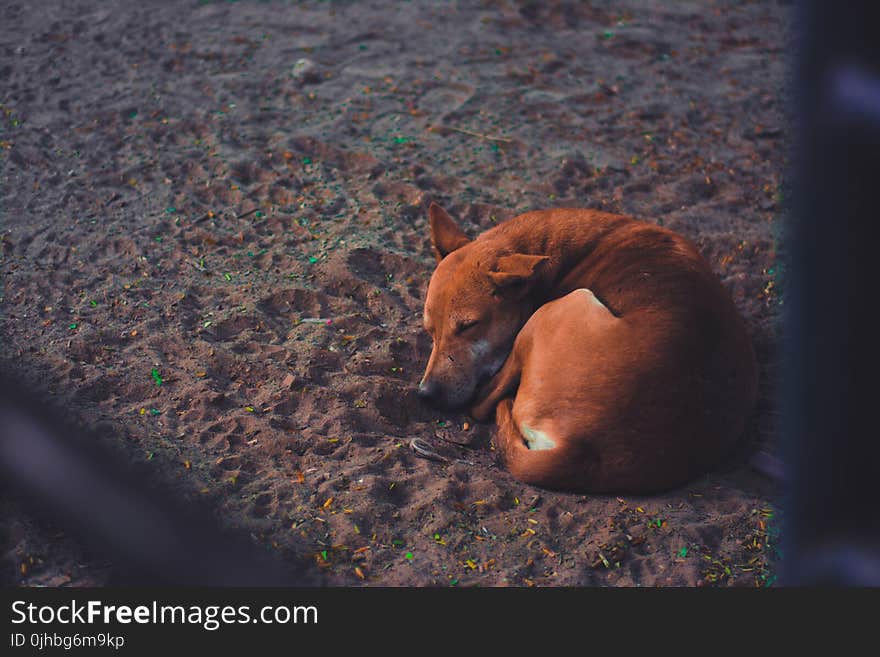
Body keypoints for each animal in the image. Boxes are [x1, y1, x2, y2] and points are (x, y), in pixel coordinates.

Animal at [420, 204, 756, 492]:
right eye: (429, 330)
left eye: (468, 326)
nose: (426, 394)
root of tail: (586, 451)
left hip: (559, 308)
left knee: (482, 403)